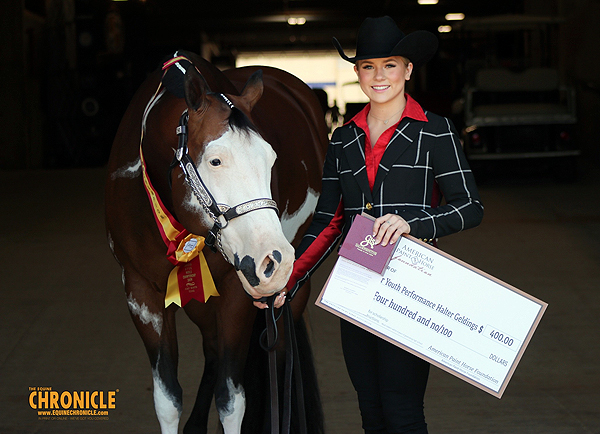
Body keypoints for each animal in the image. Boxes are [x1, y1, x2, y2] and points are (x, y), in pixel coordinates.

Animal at [103, 51, 328, 434]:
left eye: (271, 160)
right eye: (216, 160)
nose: (275, 260)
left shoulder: (236, 291)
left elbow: (231, 400)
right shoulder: (140, 292)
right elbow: (167, 401)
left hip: (289, 296)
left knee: (283, 357)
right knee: (211, 350)